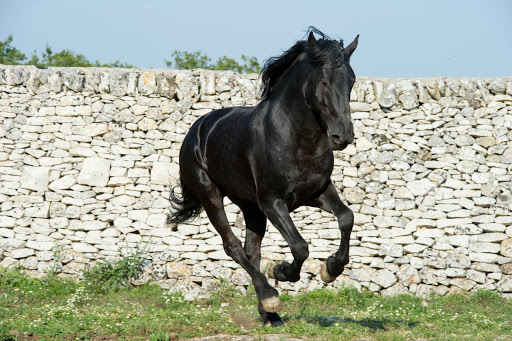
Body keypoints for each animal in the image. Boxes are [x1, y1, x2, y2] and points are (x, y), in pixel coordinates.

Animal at [170, 27, 358, 326]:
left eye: (351, 81)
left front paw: (331, 269)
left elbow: (346, 218)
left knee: (251, 250)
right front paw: (280, 272)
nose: (343, 136)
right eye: (325, 82)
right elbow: (300, 247)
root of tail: (196, 131)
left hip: (250, 207)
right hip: (211, 196)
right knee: (233, 246)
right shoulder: (273, 202)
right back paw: (270, 297)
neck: (294, 138)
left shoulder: (318, 192)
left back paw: (270, 314)